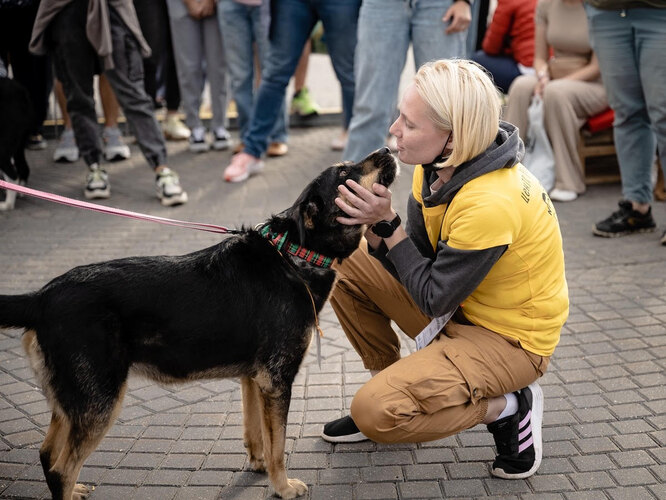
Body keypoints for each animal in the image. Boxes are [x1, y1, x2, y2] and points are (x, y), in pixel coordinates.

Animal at [0, 148, 394, 500]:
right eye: (345, 174)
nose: (388, 148)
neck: (293, 254)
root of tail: (42, 296)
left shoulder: (254, 380)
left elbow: (258, 434)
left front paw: (259, 466)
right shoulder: (277, 381)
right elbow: (279, 444)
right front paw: (281, 487)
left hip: (71, 401)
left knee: (47, 454)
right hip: (98, 401)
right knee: (61, 468)